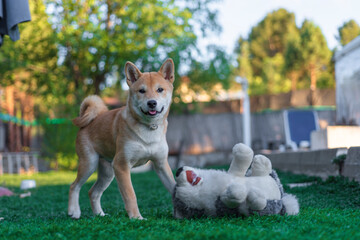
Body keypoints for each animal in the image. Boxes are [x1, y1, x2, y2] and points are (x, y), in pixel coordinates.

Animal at [68, 58, 176, 219]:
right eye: (141, 90)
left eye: (160, 89)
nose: (152, 103)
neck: (149, 129)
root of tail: (91, 121)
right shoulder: (121, 165)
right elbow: (130, 195)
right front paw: (137, 218)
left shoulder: (161, 164)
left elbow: (174, 187)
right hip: (89, 163)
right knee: (74, 186)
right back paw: (74, 211)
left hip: (107, 172)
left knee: (93, 192)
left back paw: (100, 214)